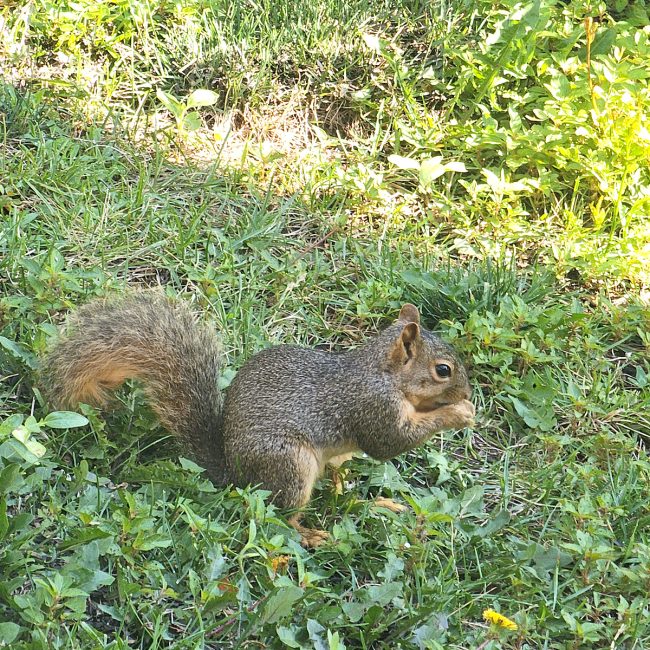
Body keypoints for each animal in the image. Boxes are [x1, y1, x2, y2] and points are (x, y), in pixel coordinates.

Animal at [42, 294, 474, 547]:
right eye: (443, 370)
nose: (466, 392)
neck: (383, 373)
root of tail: (234, 474)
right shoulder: (373, 406)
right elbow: (390, 443)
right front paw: (458, 413)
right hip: (289, 463)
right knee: (281, 515)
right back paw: (312, 533)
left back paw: (367, 499)